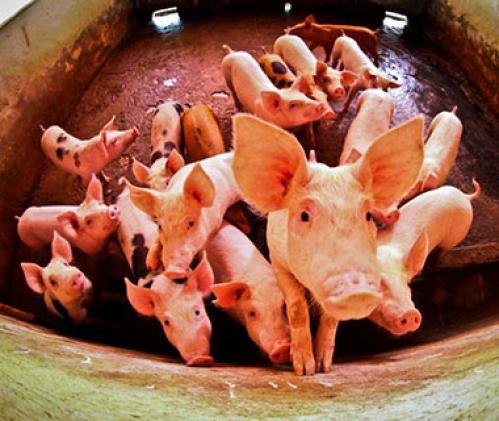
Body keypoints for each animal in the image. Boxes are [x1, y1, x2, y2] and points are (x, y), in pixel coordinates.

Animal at [232, 113, 424, 375]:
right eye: (304, 215)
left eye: (368, 215)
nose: (357, 290)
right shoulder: (277, 258)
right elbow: (296, 307)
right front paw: (304, 370)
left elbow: (332, 318)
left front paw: (325, 367)